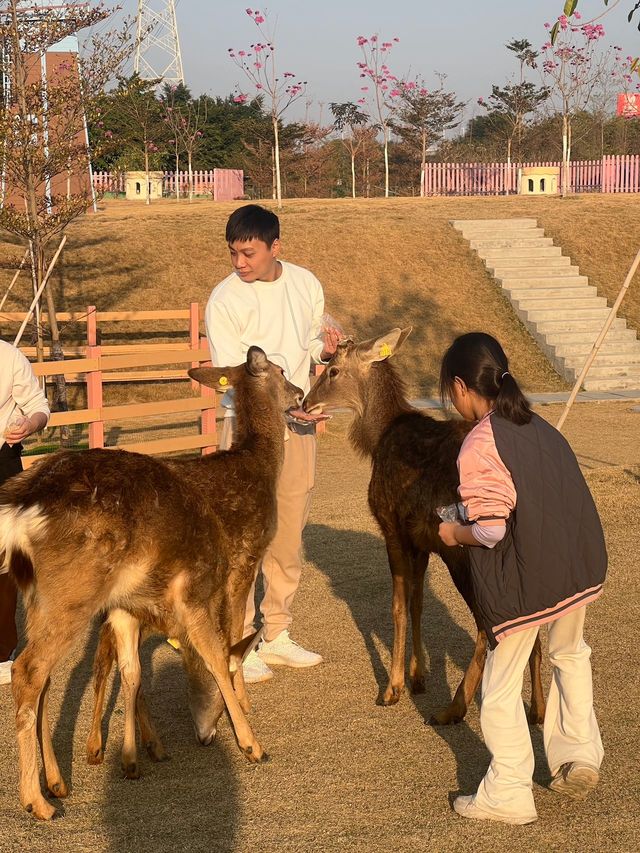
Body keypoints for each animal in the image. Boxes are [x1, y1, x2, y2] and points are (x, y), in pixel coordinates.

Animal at [0, 344, 304, 820]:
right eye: (281, 371)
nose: (301, 394)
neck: (256, 466)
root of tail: (22, 505)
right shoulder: (242, 559)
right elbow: (227, 643)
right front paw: (249, 732)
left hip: (38, 597)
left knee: (47, 675)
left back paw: (58, 781)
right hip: (73, 591)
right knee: (29, 669)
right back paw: (38, 800)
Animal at [302, 326, 544, 724]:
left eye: (332, 370)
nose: (306, 403)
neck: (376, 438)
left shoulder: (392, 528)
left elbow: (398, 606)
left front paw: (393, 687)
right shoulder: (422, 542)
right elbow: (417, 602)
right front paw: (418, 676)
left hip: (468, 552)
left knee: (487, 624)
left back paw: (455, 706)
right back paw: (538, 707)